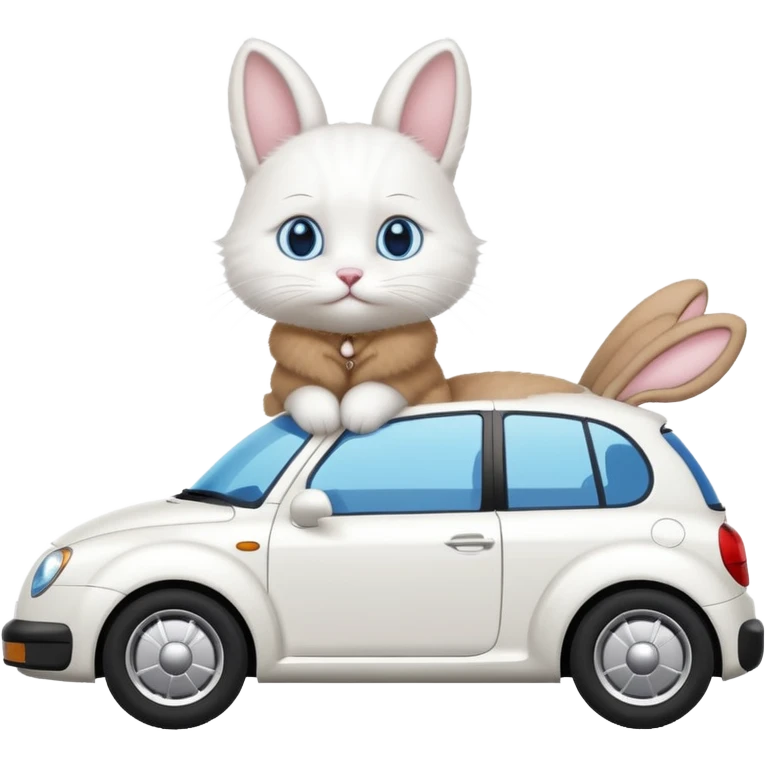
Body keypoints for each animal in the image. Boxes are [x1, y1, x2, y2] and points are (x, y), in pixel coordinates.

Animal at [217, 37, 747, 435]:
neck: (350, 341)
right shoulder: (280, 389)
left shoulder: (425, 387)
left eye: (398, 238)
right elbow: (300, 395)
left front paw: (359, 409)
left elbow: (384, 393)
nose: (349, 275)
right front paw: (325, 413)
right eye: (300, 239)